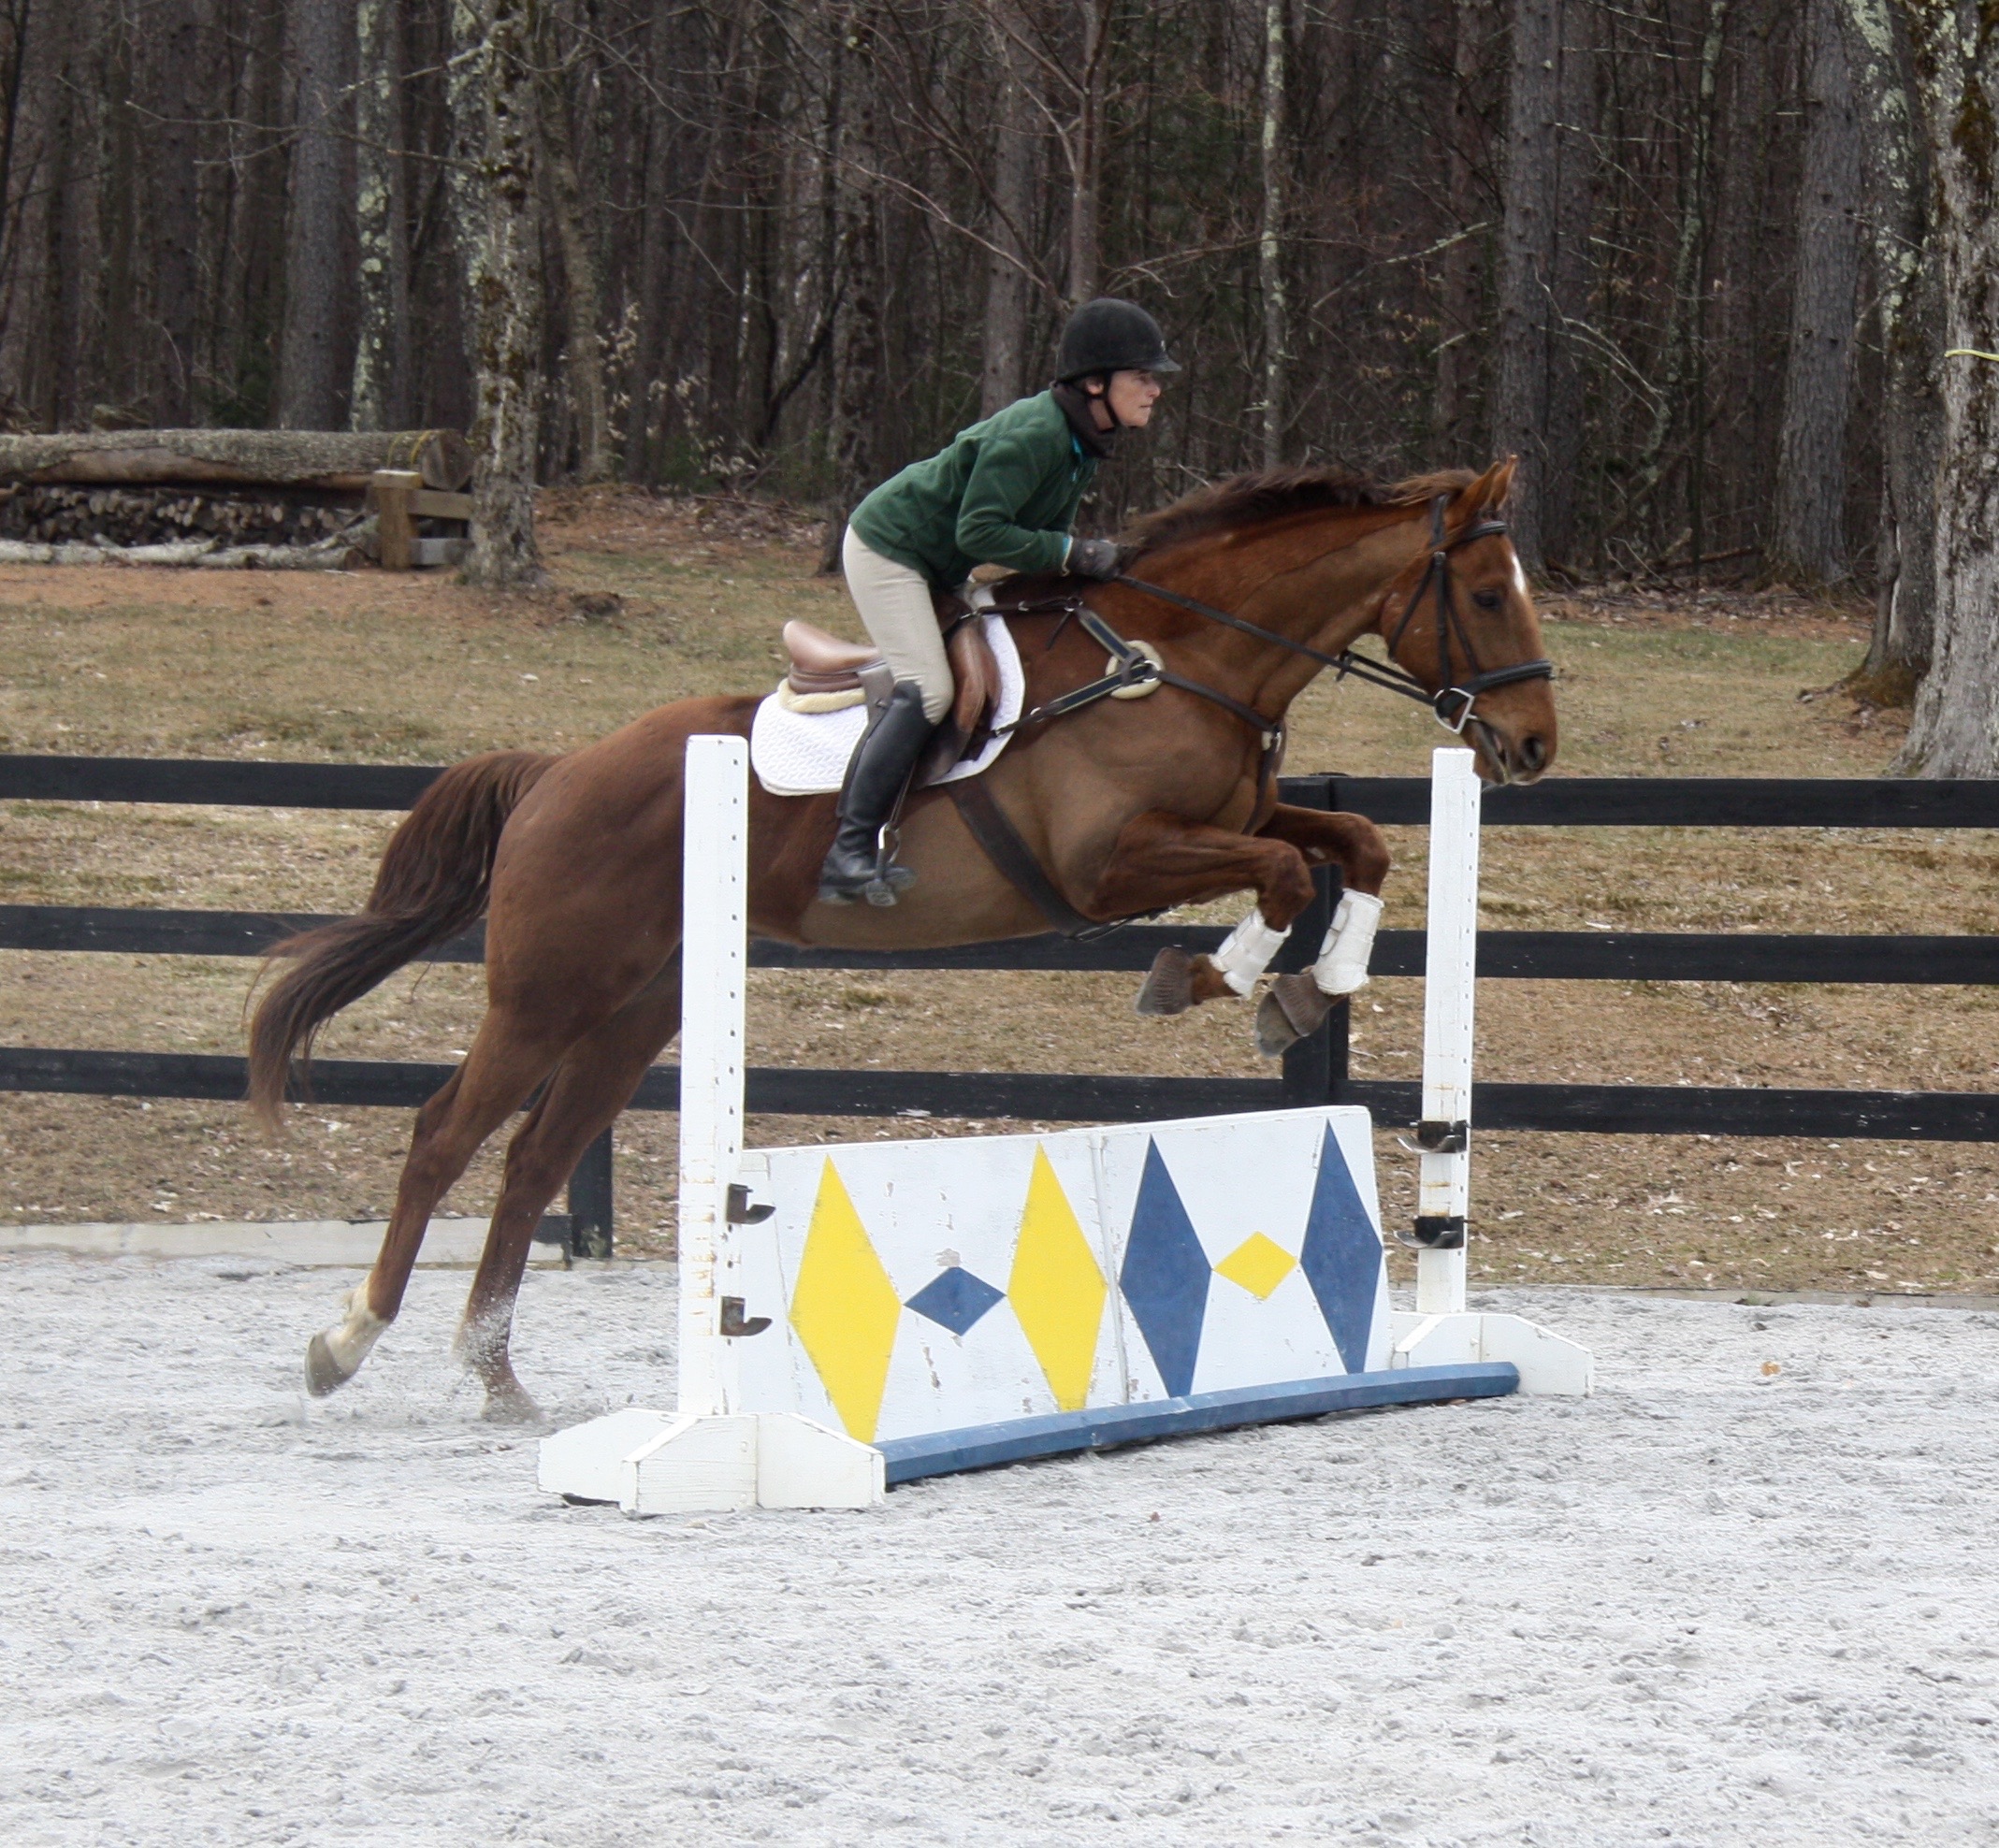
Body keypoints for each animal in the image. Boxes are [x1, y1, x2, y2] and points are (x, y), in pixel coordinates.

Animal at [248, 455, 1556, 1419]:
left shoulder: (1236, 816)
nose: (1536, 745)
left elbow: (1353, 844)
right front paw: (1212, 979)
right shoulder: (1106, 865)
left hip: (638, 1007)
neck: (1185, 657)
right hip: (548, 995)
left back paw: (497, 1374)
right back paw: (347, 1339)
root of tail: (558, 769)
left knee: (529, 1161)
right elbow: (1284, 873)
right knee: (443, 1136)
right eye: (1489, 595)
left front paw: (1307, 988)